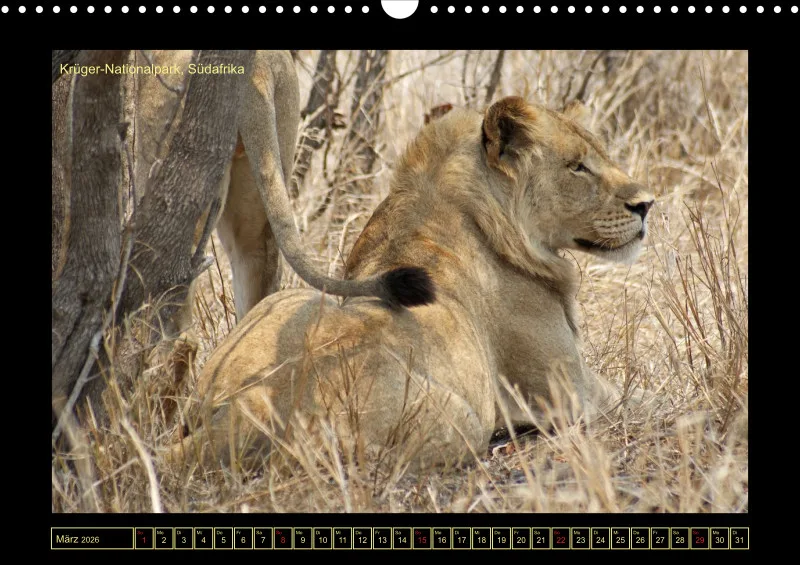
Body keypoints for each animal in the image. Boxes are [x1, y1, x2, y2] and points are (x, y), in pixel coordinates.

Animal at [171, 95, 655, 471]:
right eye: (577, 167)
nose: (647, 204)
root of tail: (248, 405)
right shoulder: (569, 388)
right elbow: (641, 396)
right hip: (460, 422)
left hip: (288, 299)